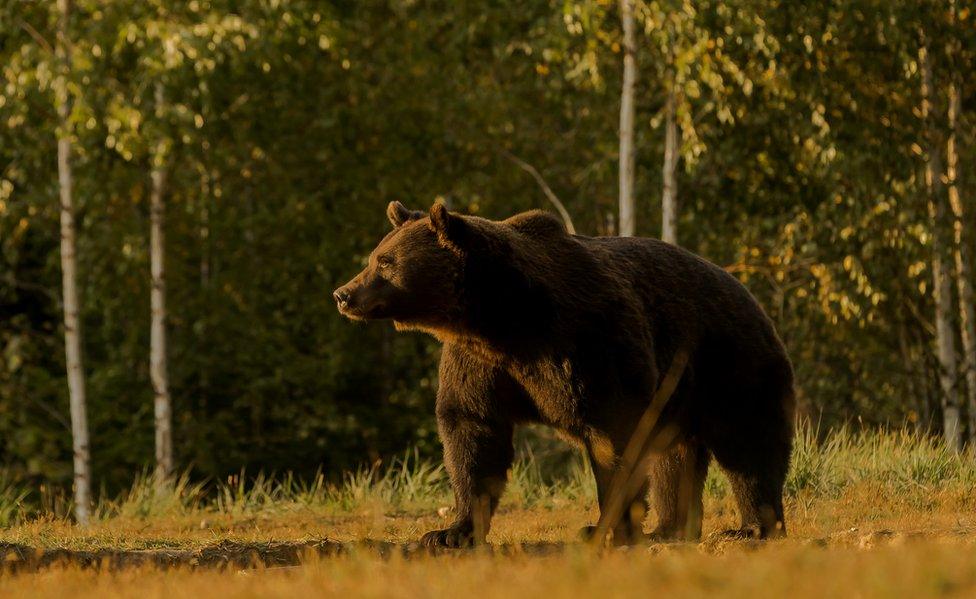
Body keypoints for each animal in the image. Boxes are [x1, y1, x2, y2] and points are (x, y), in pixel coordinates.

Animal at [334, 203, 792, 548]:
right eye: (375, 256)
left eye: (385, 262)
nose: (343, 293)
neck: (504, 318)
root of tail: (746, 292)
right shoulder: (479, 363)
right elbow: (472, 432)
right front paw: (451, 531)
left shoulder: (588, 342)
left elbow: (615, 437)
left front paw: (605, 527)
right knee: (675, 457)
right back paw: (670, 528)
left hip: (729, 362)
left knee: (749, 444)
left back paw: (753, 526)